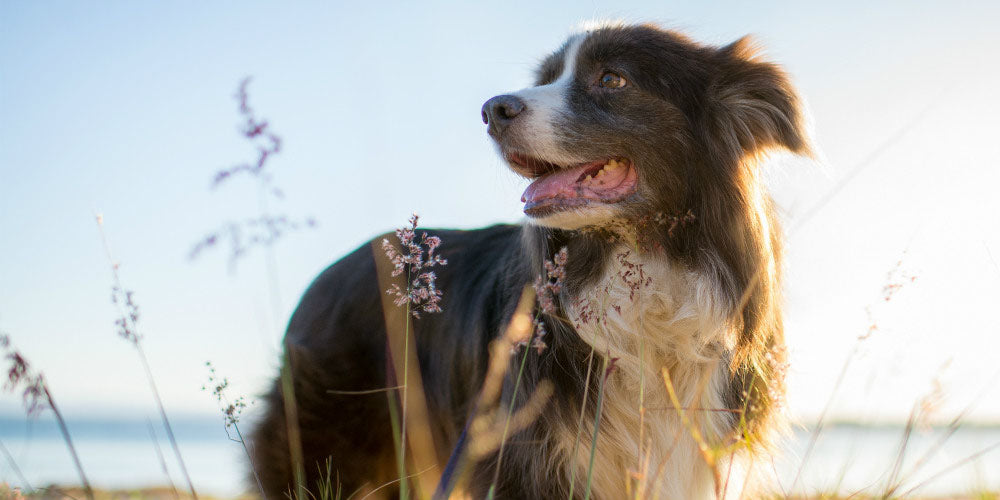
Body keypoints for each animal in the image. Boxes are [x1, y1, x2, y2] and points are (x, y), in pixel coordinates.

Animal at [250, 22, 812, 500]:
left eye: (612, 78)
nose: (492, 109)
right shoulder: (521, 456)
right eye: (544, 79)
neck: (639, 263)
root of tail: (325, 278)